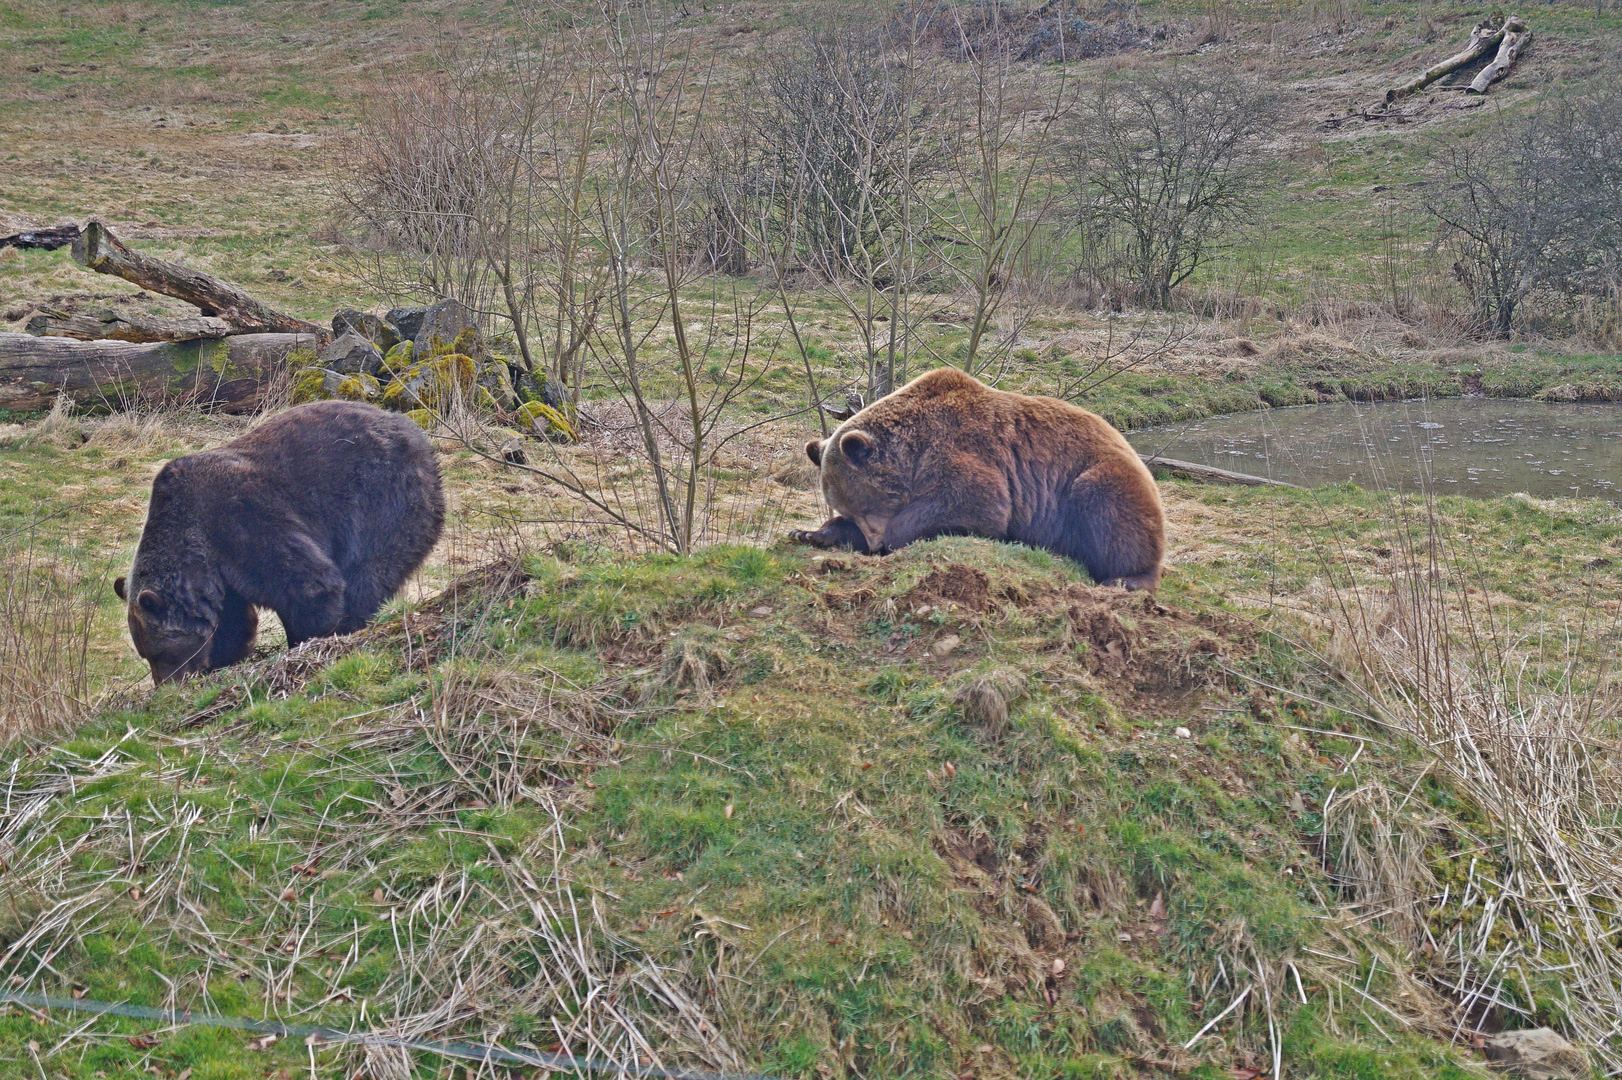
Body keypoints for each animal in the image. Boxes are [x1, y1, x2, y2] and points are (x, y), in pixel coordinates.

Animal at [113, 395, 444, 681]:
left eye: (159, 652)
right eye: (146, 654)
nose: (167, 684)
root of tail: (417, 437)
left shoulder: (238, 518)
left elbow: (308, 582)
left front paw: (307, 640)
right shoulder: (219, 573)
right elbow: (233, 622)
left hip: (381, 497)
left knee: (368, 568)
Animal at [788, 368, 1161, 590]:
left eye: (864, 505)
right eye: (846, 508)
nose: (873, 544)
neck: (911, 453)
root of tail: (1126, 442)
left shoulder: (961, 448)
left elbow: (976, 501)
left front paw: (896, 536)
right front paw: (809, 533)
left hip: (1093, 478)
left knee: (1112, 513)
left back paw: (1127, 579)